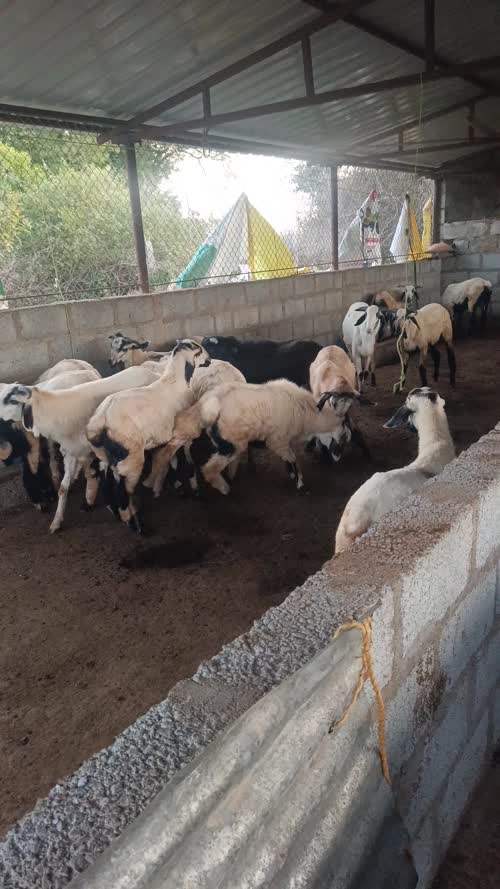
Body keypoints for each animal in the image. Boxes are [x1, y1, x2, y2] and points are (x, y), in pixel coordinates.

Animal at [4, 362, 166, 532]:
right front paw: (57, 521)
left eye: (12, 400)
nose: (43, 507)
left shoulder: (97, 452)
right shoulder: (72, 452)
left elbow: (102, 477)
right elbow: (64, 487)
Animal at [87, 340, 211, 533]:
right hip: (131, 457)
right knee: (123, 491)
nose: (210, 360)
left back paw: (116, 513)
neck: (176, 382)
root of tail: (101, 419)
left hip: (108, 457)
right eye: (198, 351)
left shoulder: (169, 439)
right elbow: (189, 465)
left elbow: (172, 462)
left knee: (108, 482)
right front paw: (197, 493)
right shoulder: (185, 437)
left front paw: (181, 490)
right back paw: (137, 526)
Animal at [154, 379, 366, 498]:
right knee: (209, 468)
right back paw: (225, 489)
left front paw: (292, 476)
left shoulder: (282, 440)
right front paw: (299, 482)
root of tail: (208, 405)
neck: (307, 414)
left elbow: (289, 459)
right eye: (344, 433)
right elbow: (292, 458)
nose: (337, 458)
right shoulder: (277, 440)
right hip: (232, 443)